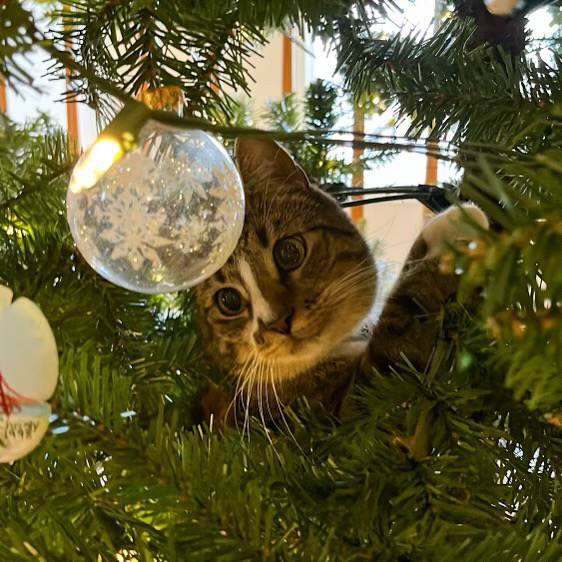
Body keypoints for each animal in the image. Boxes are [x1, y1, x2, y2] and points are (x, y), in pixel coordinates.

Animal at [192, 138, 486, 426]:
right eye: (229, 300)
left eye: (289, 252)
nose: (276, 322)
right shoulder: (343, 415)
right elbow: (397, 335)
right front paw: (454, 227)